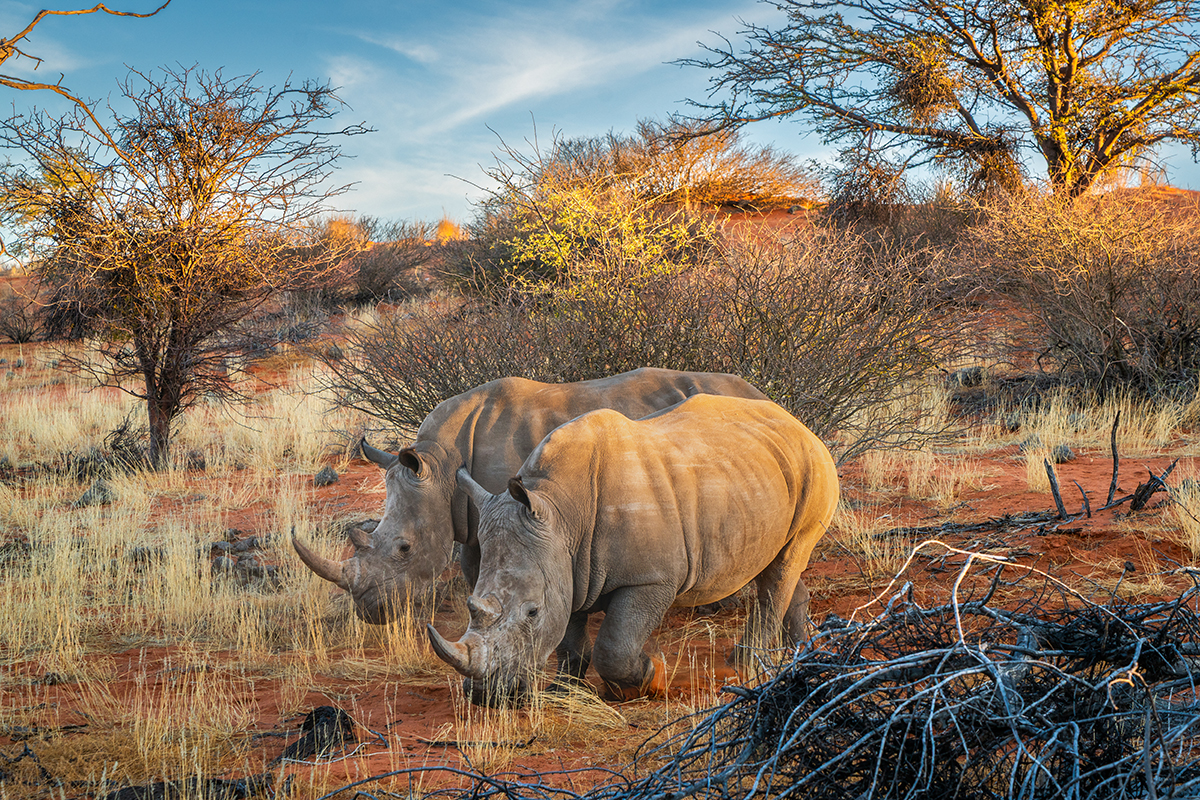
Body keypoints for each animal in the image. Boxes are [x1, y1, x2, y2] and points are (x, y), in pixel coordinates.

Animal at [292, 368, 768, 623]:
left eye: (405, 548)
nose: (371, 612)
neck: (439, 464)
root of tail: (761, 394)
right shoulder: (473, 513)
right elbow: (473, 566)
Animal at [426, 393, 839, 703]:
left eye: (531, 613)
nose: (485, 696)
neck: (561, 513)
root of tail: (796, 422)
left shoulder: (650, 579)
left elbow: (615, 644)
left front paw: (646, 680)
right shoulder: (565, 565)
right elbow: (570, 637)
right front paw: (564, 691)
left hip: (815, 467)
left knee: (784, 564)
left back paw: (742, 668)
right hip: (758, 472)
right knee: (777, 565)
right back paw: (805, 653)